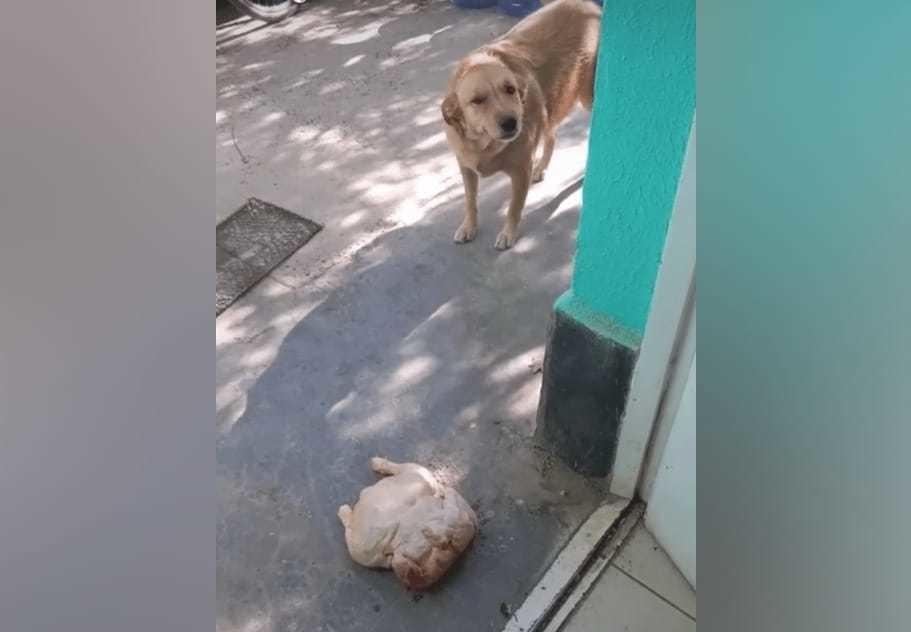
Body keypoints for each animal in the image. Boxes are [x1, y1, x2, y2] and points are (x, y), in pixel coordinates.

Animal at [444, 0, 604, 252]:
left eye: (510, 89)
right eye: (477, 100)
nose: (512, 123)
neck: (485, 145)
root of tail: (586, 4)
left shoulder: (520, 172)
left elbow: (514, 208)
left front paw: (508, 233)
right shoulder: (466, 168)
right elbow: (470, 201)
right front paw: (469, 226)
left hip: (588, 95)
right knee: (551, 136)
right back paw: (541, 167)